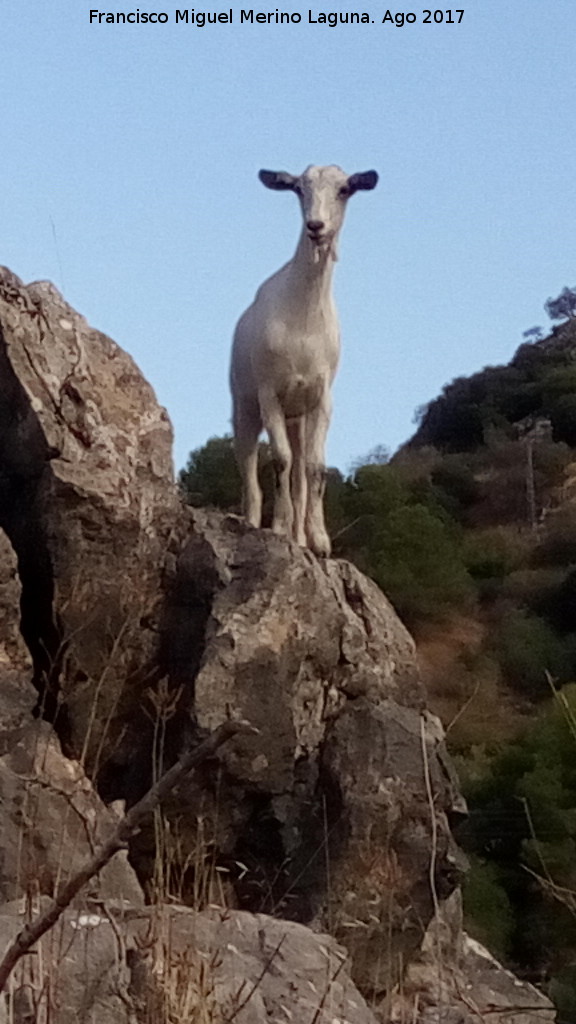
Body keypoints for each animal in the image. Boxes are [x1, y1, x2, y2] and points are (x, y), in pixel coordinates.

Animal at [228, 163, 377, 557]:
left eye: (344, 189)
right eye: (298, 189)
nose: (316, 226)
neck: (302, 321)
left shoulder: (320, 398)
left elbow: (313, 468)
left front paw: (320, 541)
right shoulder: (269, 392)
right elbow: (279, 459)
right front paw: (278, 527)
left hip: (298, 419)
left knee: (298, 474)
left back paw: (300, 537)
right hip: (244, 404)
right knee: (248, 460)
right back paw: (253, 521)